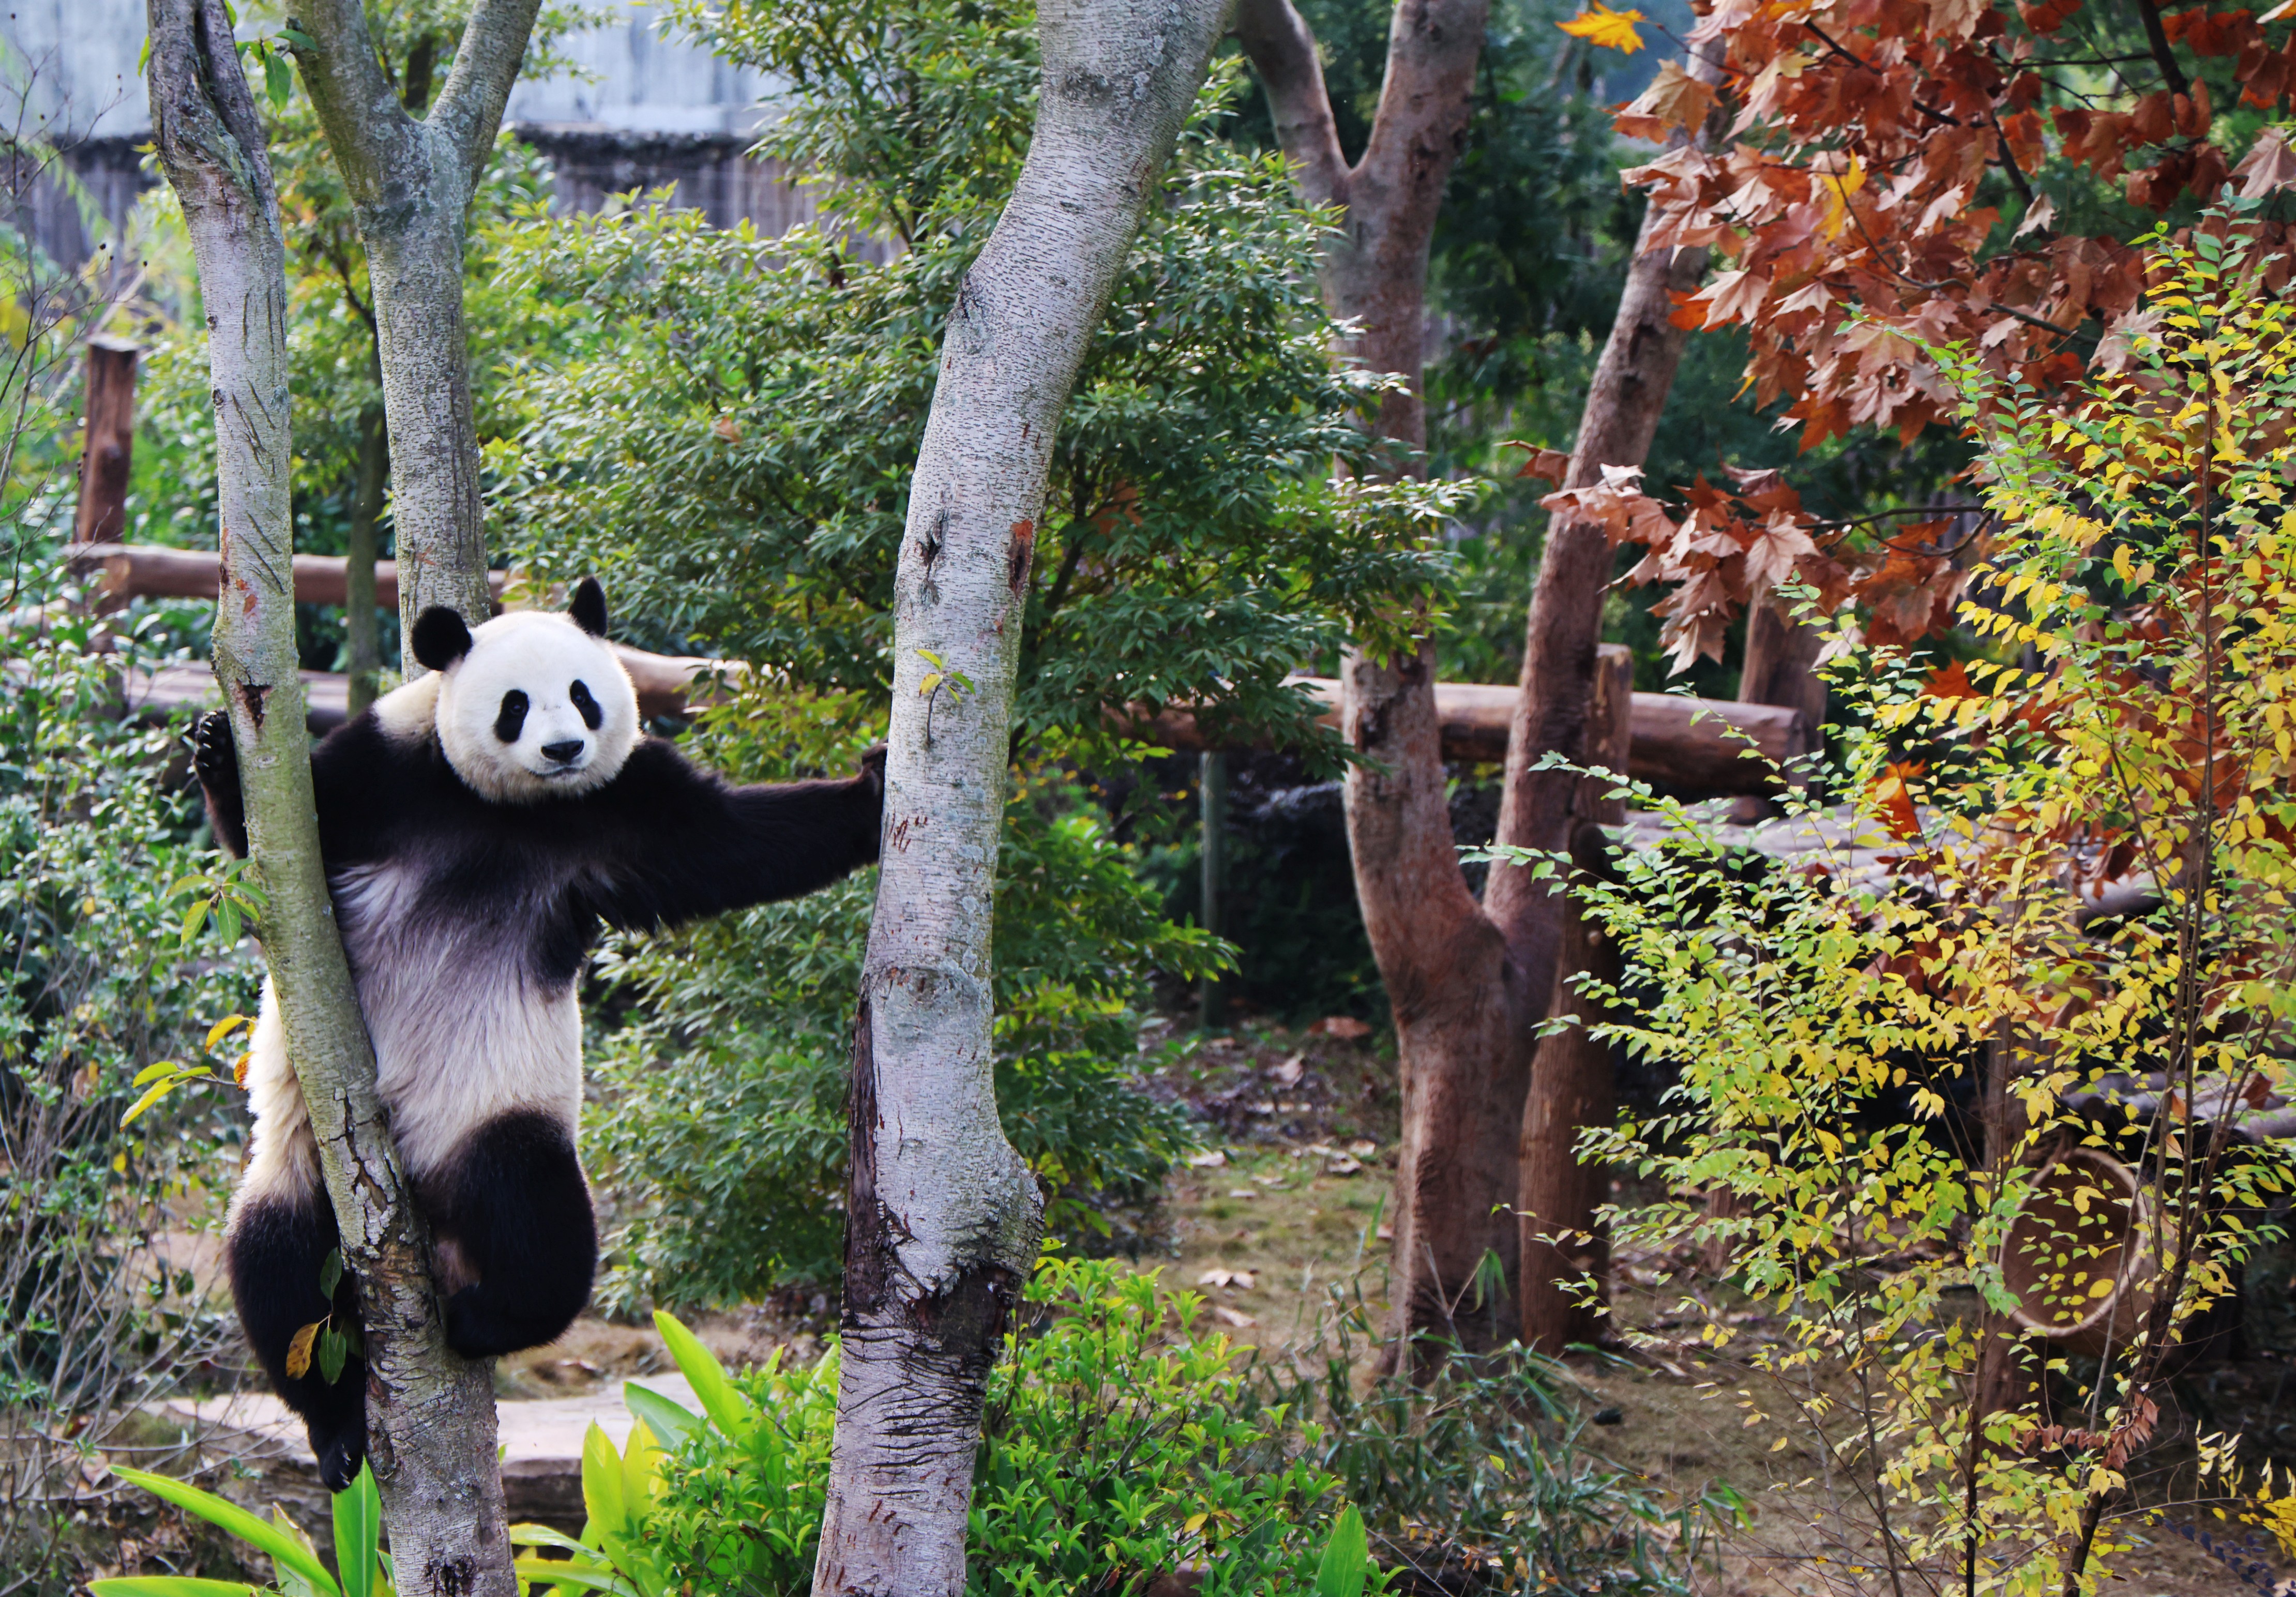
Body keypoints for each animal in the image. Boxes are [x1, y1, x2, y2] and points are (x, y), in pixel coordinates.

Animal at [192, 579, 884, 1490]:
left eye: (585, 696)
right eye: (515, 705)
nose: (563, 749)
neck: (511, 809)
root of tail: (431, 1214)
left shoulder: (623, 805)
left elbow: (742, 845)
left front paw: (874, 790)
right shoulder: (387, 769)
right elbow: (276, 855)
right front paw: (213, 751)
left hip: (492, 1113)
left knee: (537, 1216)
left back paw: (481, 1321)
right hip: (306, 1156)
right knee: (280, 1268)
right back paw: (338, 1430)